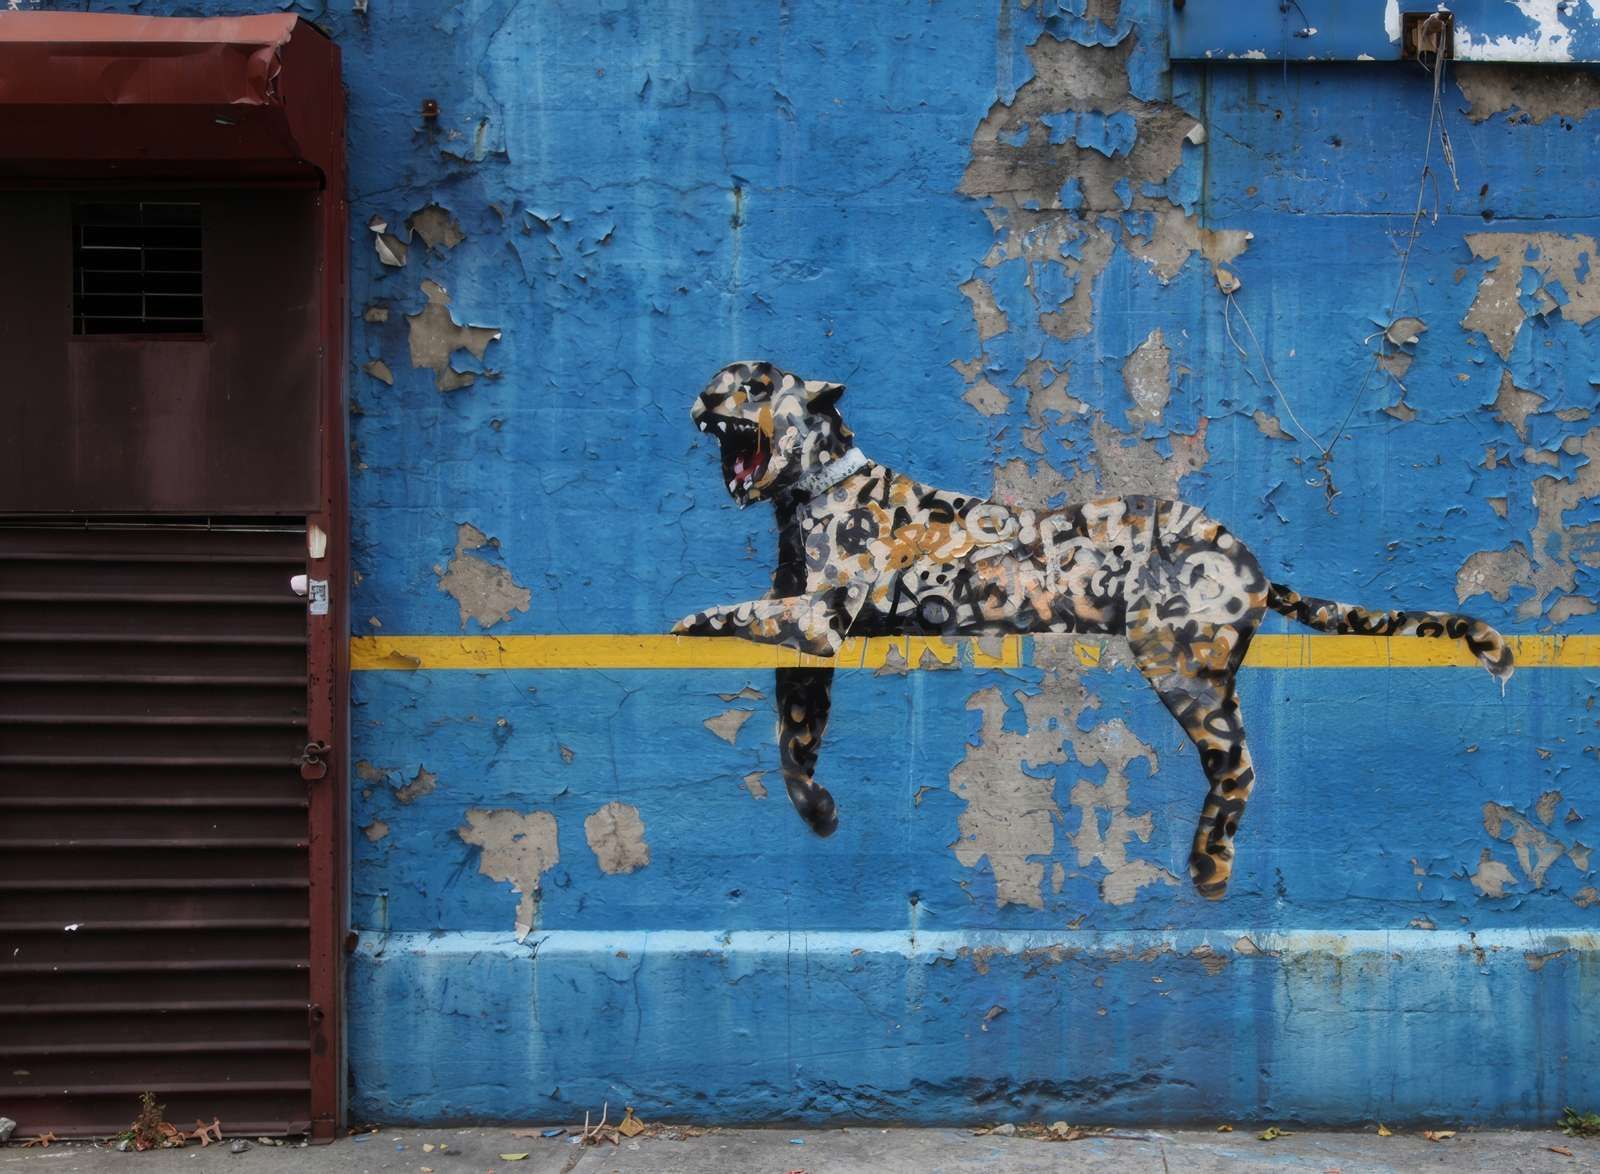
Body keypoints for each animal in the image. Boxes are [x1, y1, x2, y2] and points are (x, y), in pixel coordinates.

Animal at [672, 360, 1514, 899]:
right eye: (719, 378)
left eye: (753, 383)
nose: (704, 400)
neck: (798, 498)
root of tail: (1245, 551)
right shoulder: (810, 656)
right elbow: (793, 741)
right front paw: (819, 814)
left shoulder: (818, 618)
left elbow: (744, 612)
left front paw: (688, 619)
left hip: (1178, 663)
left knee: (1238, 765)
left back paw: (1208, 871)